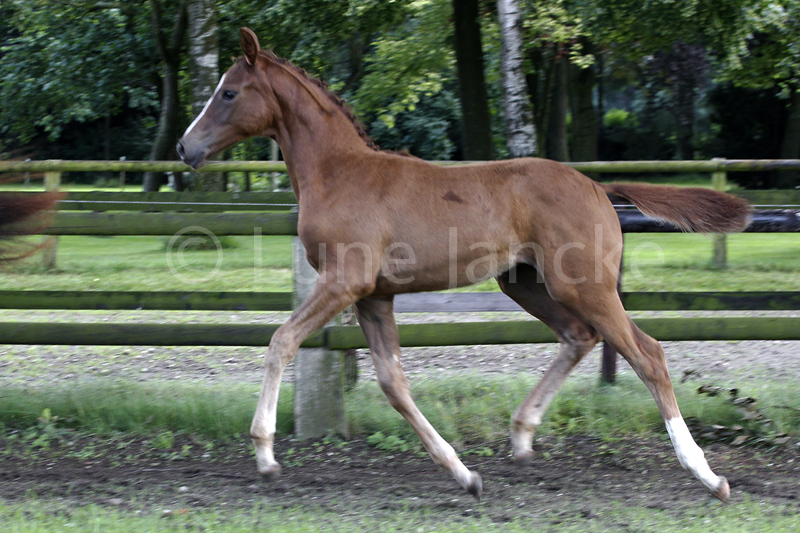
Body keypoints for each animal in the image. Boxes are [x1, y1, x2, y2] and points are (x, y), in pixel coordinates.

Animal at [178, 27, 752, 500]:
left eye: (228, 92)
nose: (185, 147)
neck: (339, 173)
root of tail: (596, 185)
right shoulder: (374, 295)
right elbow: (393, 383)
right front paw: (464, 474)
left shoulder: (344, 282)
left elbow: (281, 341)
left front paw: (265, 454)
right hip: (525, 284)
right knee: (579, 336)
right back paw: (522, 436)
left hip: (584, 285)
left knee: (647, 354)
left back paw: (708, 476)